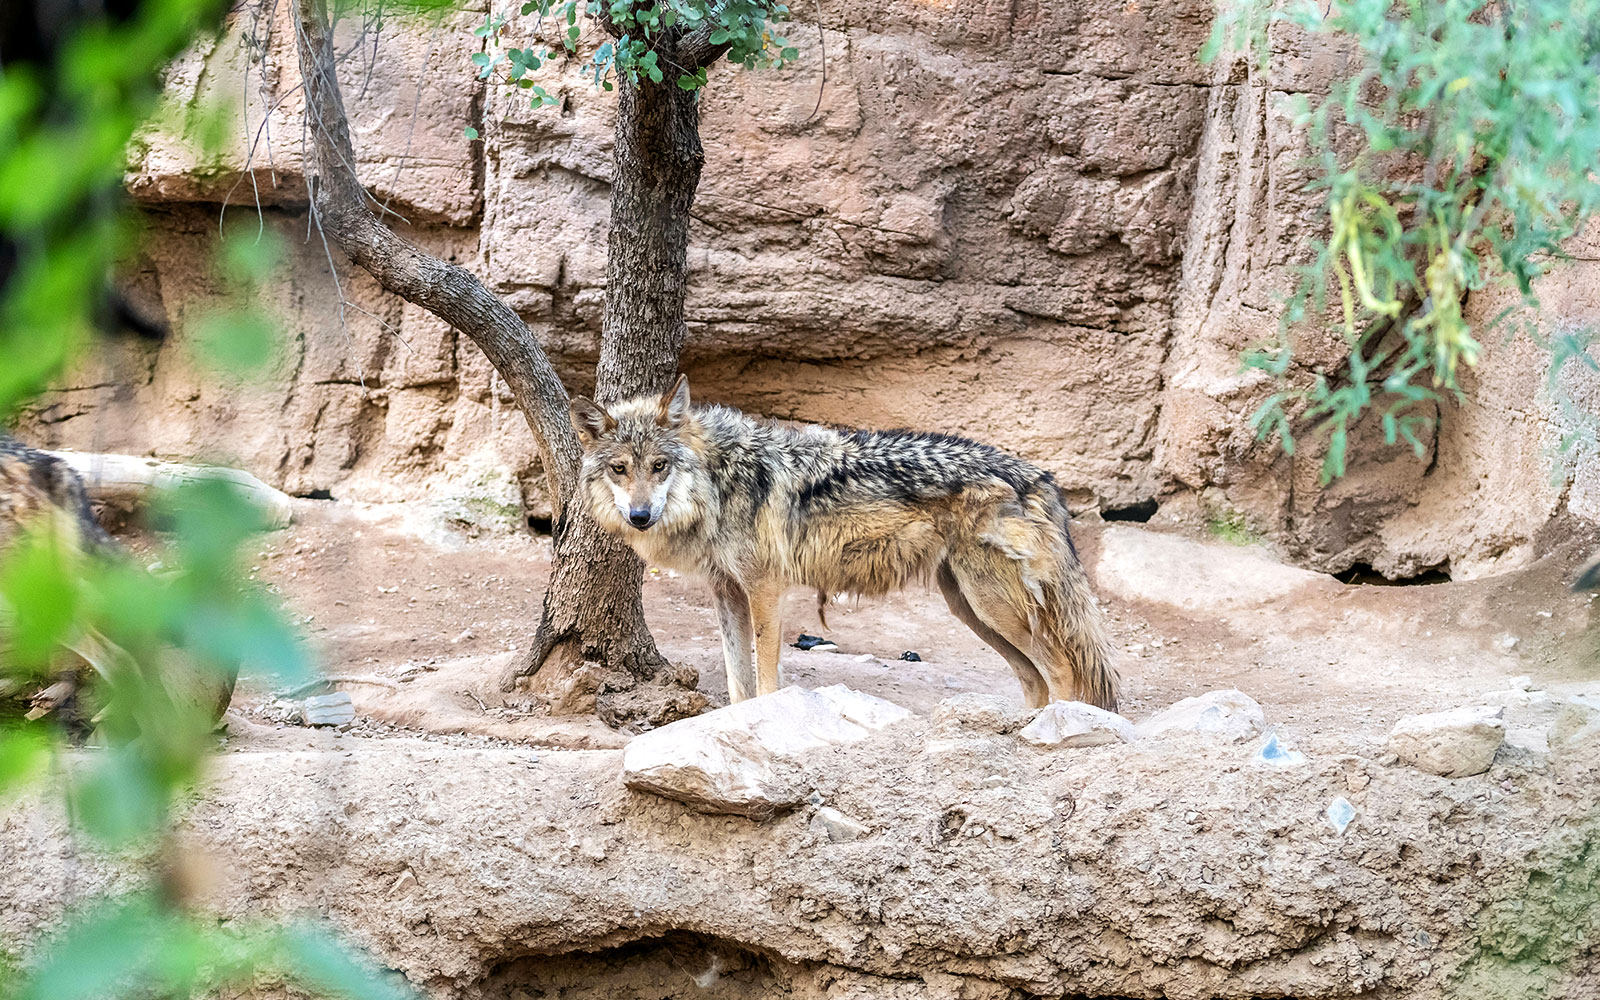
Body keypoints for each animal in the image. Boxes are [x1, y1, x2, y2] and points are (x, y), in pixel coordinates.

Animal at [570, 376, 1119, 710]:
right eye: (620, 469)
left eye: (659, 466)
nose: (640, 517)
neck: (720, 481)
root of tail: (1038, 474)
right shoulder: (726, 591)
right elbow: (736, 682)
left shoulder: (766, 588)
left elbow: (764, 678)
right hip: (971, 609)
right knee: (1033, 678)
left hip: (993, 606)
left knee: (1063, 670)